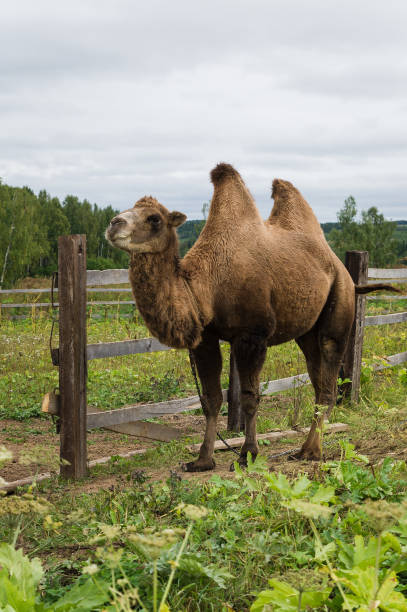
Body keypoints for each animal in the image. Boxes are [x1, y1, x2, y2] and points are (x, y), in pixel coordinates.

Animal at [106, 165, 398, 470]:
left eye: (154, 218)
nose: (114, 223)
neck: (205, 287)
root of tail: (348, 276)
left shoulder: (252, 336)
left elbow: (249, 398)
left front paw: (248, 453)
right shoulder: (205, 338)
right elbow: (211, 399)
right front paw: (203, 459)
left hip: (339, 308)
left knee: (328, 382)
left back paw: (312, 452)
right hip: (307, 333)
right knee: (318, 382)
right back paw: (303, 449)